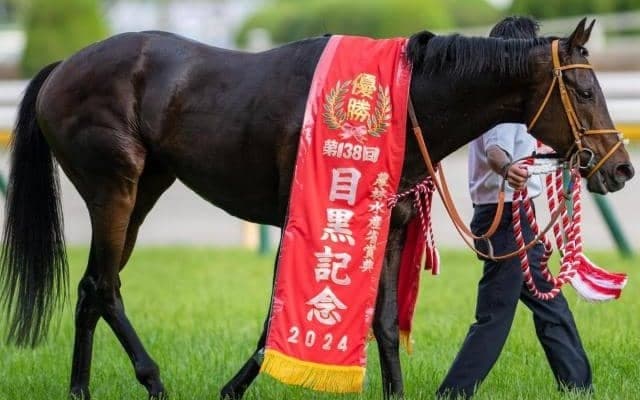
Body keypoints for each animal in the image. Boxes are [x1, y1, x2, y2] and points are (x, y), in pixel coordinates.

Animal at [0, 17, 633, 400]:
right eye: (583, 91)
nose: (621, 168)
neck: (403, 101)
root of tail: (62, 69)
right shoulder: (303, 218)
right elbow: (276, 316)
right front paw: (234, 387)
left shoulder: (390, 224)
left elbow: (383, 323)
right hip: (114, 187)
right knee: (104, 287)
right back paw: (152, 381)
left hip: (144, 190)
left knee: (92, 287)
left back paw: (81, 389)